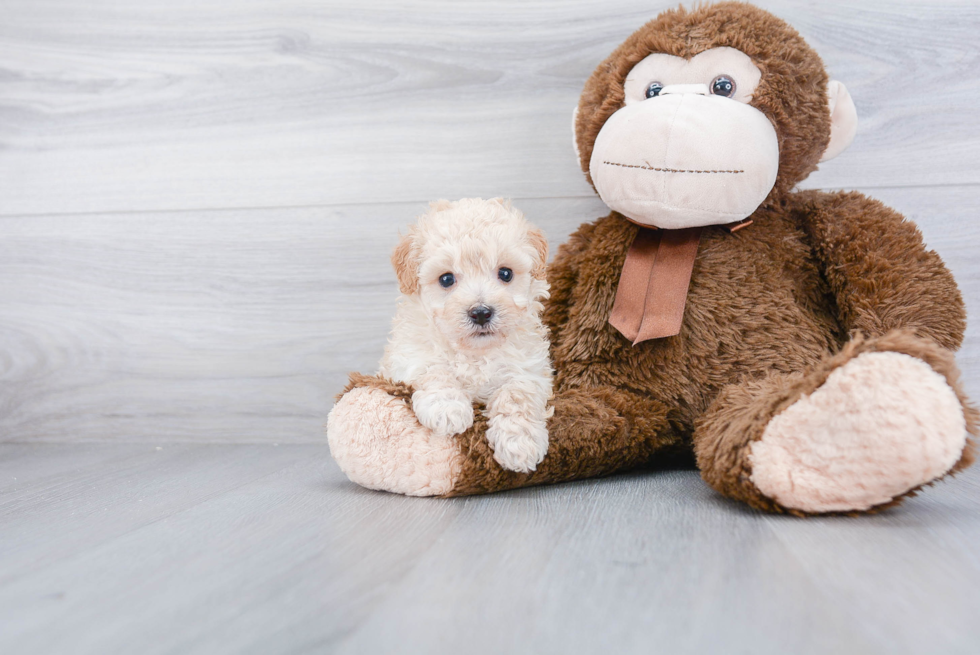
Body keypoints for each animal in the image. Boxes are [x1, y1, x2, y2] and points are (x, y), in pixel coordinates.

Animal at [378, 197, 556, 474]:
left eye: (505, 273)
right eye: (446, 279)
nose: (481, 313)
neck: (475, 353)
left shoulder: (529, 369)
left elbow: (516, 396)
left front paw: (519, 444)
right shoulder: (409, 357)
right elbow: (435, 370)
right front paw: (447, 408)